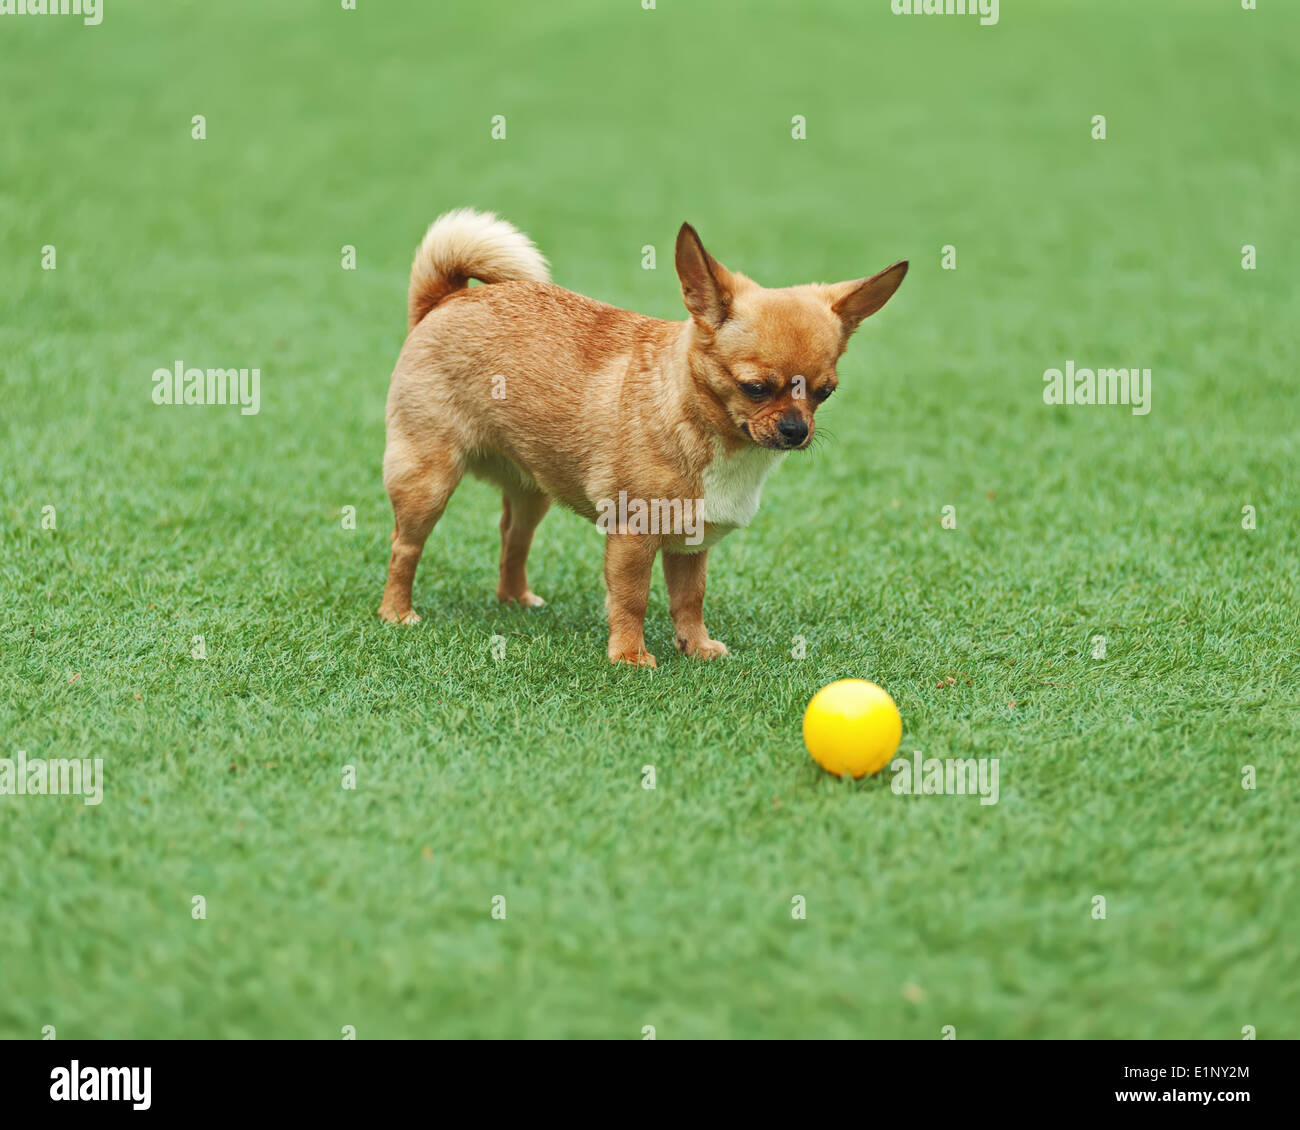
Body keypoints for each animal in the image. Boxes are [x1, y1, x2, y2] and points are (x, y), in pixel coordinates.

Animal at [377, 208, 904, 665]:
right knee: (405, 546)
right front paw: (629, 656)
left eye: (825, 393)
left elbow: (689, 598)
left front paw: (695, 646)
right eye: (754, 388)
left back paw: (515, 599)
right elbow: (632, 599)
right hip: (427, 480)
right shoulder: (633, 537)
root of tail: (445, 299)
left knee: (513, 537)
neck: (705, 426)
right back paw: (397, 612)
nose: (796, 430)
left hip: (533, 490)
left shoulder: (690, 544)